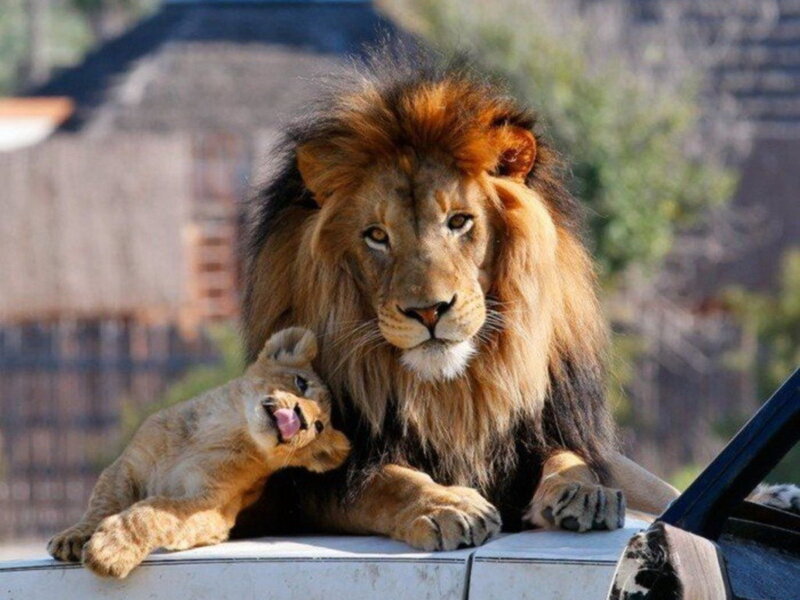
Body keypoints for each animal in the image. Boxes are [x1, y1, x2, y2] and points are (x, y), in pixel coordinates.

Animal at [47, 327, 350, 578]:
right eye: (301, 383)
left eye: (320, 427)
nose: (303, 420)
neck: (222, 428)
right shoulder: (126, 467)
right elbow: (102, 503)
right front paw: (73, 537)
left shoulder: (212, 508)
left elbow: (154, 512)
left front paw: (110, 550)